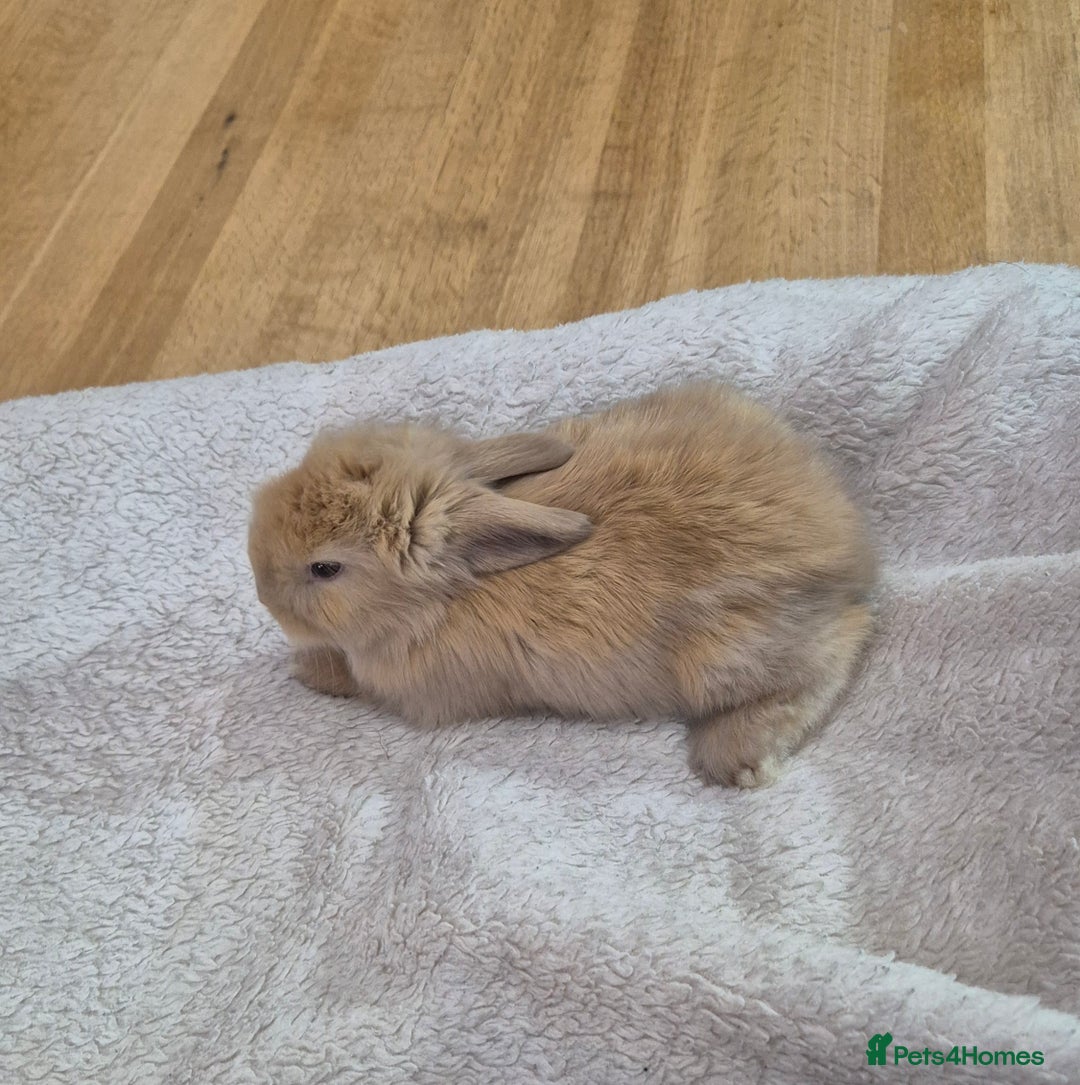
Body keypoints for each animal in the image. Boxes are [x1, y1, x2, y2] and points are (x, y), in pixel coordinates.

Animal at [248, 381, 876, 787]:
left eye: (324, 569)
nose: (261, 593)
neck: (441, 599)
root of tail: (846, 540)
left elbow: (349, 679)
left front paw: (302, 669)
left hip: (726, 655)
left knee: (841, 646)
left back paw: (734, 757)